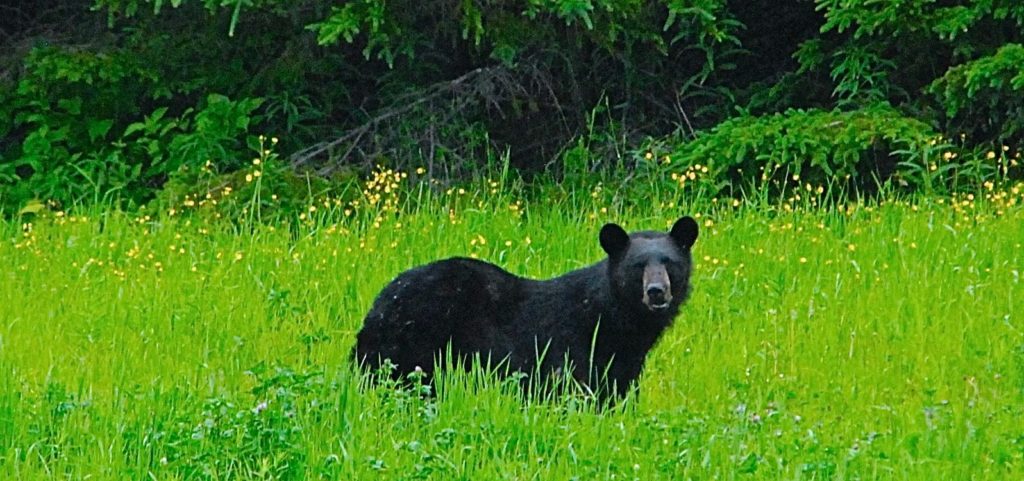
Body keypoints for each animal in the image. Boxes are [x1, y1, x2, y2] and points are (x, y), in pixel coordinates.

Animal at [350, 215, 696, 401]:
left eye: (669, 262)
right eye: (638, 266)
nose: (656, 292)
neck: (614, 321)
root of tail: (378, 304)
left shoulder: (624, 363)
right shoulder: (572, 346)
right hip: (414, 346)